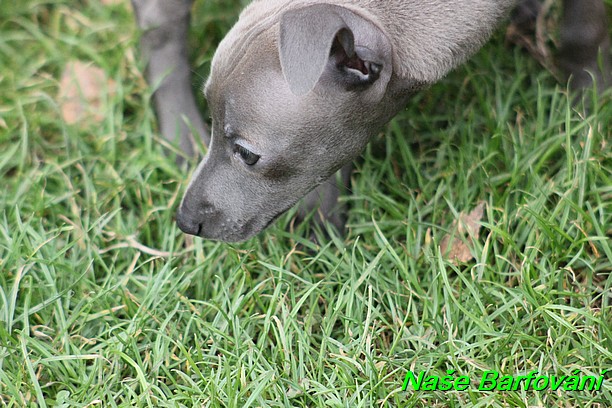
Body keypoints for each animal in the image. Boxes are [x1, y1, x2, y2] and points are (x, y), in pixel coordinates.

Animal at [131, 0, 608, 242]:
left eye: (247, 154)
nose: (185, 221)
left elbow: (584, 31)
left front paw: (587, 104)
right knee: (160, 25)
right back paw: (178, 130)